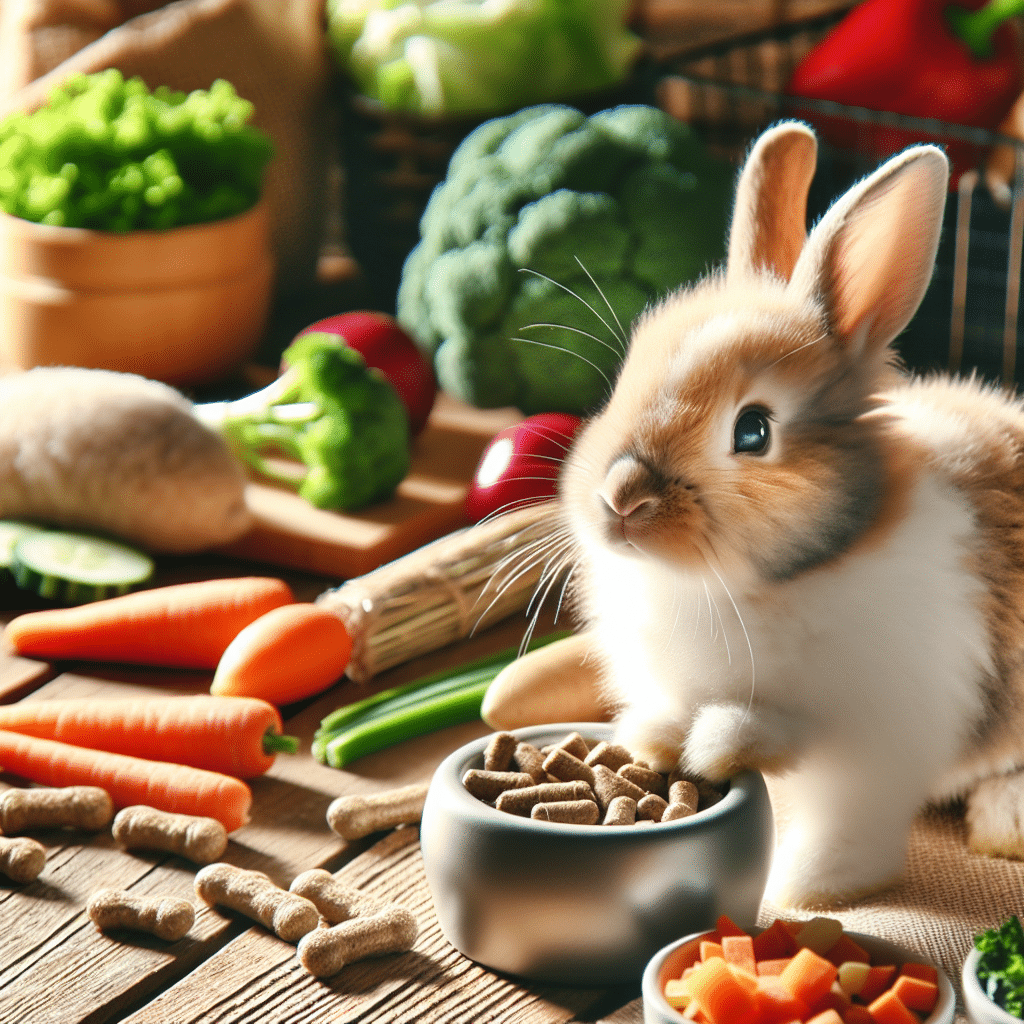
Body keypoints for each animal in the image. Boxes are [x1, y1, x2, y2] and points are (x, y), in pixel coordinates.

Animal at [555, 119, 1024, 908]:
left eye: (753, 431)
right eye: (624, 378)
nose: (620, 500)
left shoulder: (873, 750)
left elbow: (842, 829)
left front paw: (801, 890)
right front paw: (657, 737)